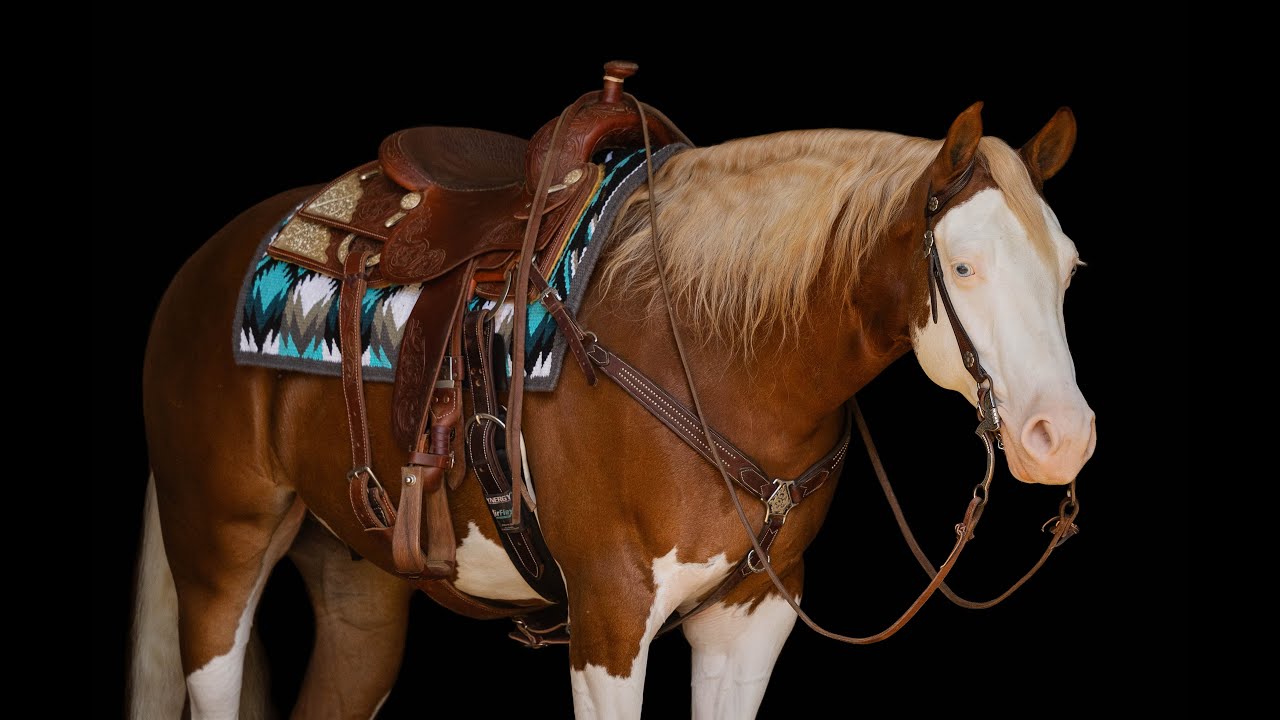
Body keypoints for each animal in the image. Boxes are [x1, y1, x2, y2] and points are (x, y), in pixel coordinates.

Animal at [130, 97, 1094, 719]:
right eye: (962, 265)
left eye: (1071, 267)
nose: (1063, 438)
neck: (708, 351)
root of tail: (201, 268)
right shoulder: (608, 620)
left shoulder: (751, 622)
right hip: (217, 561)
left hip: (359, 583)